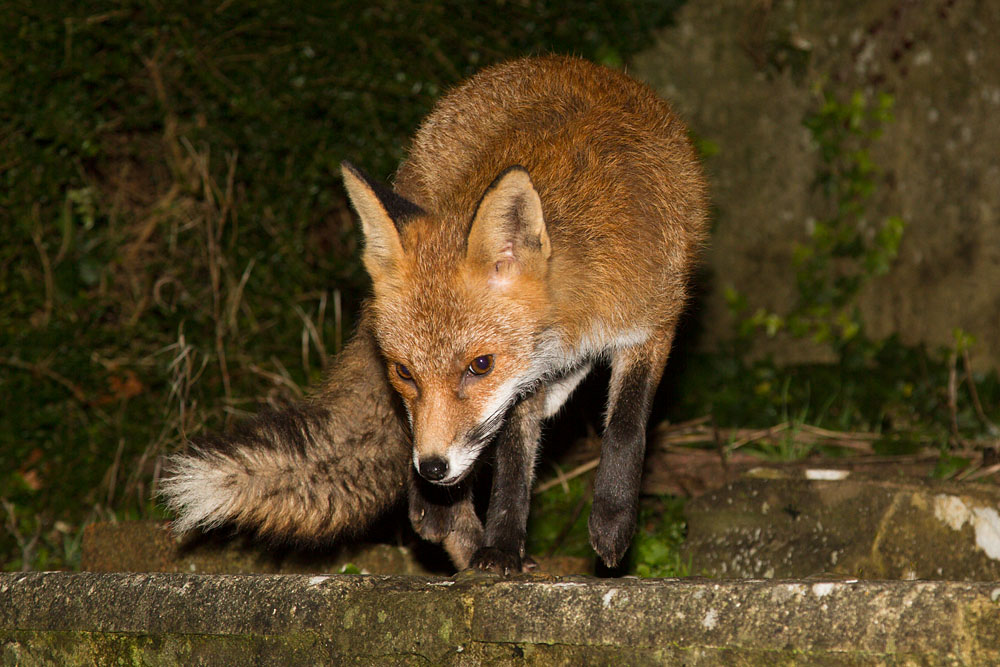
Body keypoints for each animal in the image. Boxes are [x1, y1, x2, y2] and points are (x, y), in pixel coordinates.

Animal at [160, 55, 706, 574]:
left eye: (480, 366)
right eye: (404, 372)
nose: (433, 469)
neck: (577, 308)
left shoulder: (651, 323)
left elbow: (627, 425)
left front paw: (612, 522)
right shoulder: (523, 380)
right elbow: (513, 457)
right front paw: (500, 547)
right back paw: (444, 521)